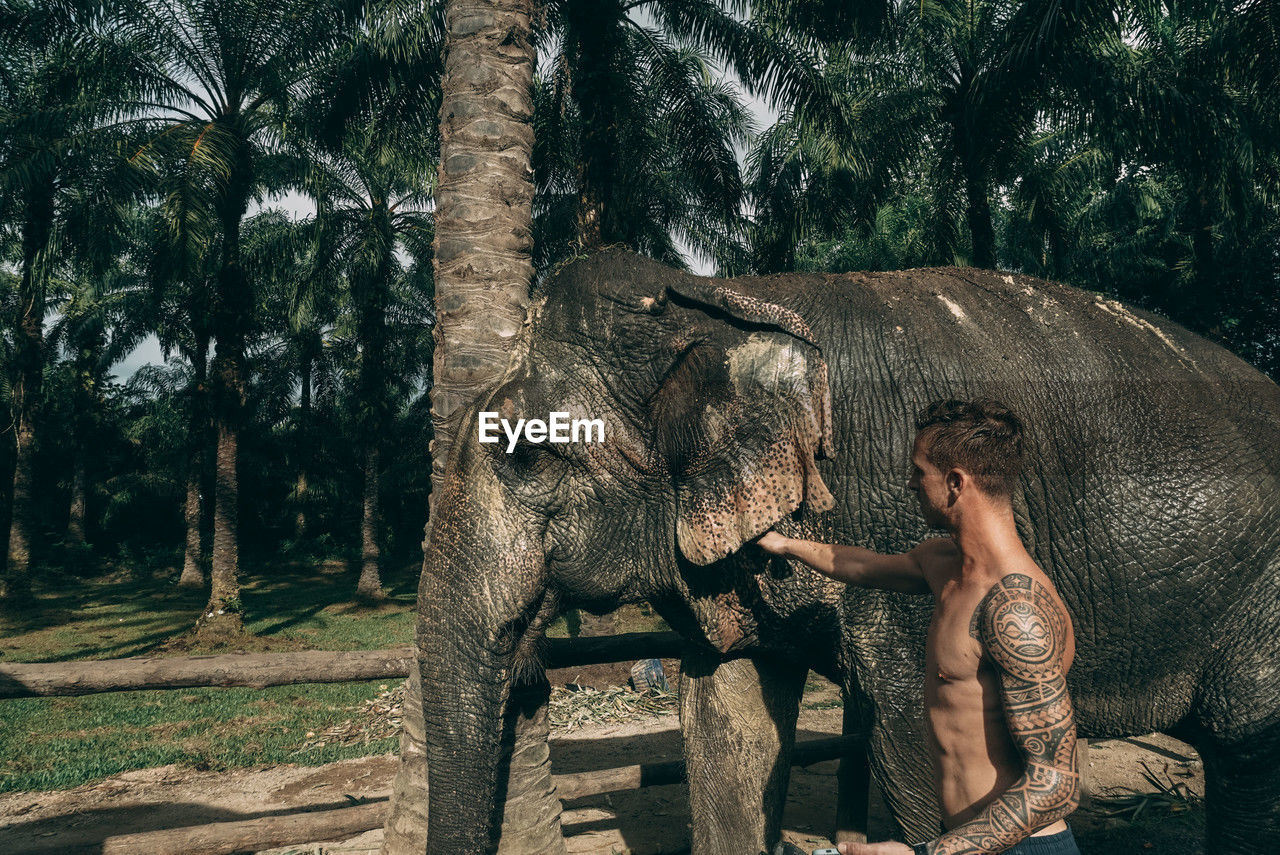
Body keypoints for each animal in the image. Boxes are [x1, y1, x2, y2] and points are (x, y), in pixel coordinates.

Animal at [417, 247, 1280, 855]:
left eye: (528, 454)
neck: (721, 296)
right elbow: (726, 720)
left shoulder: (890, 522)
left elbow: (909, 731)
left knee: (1247, 748)